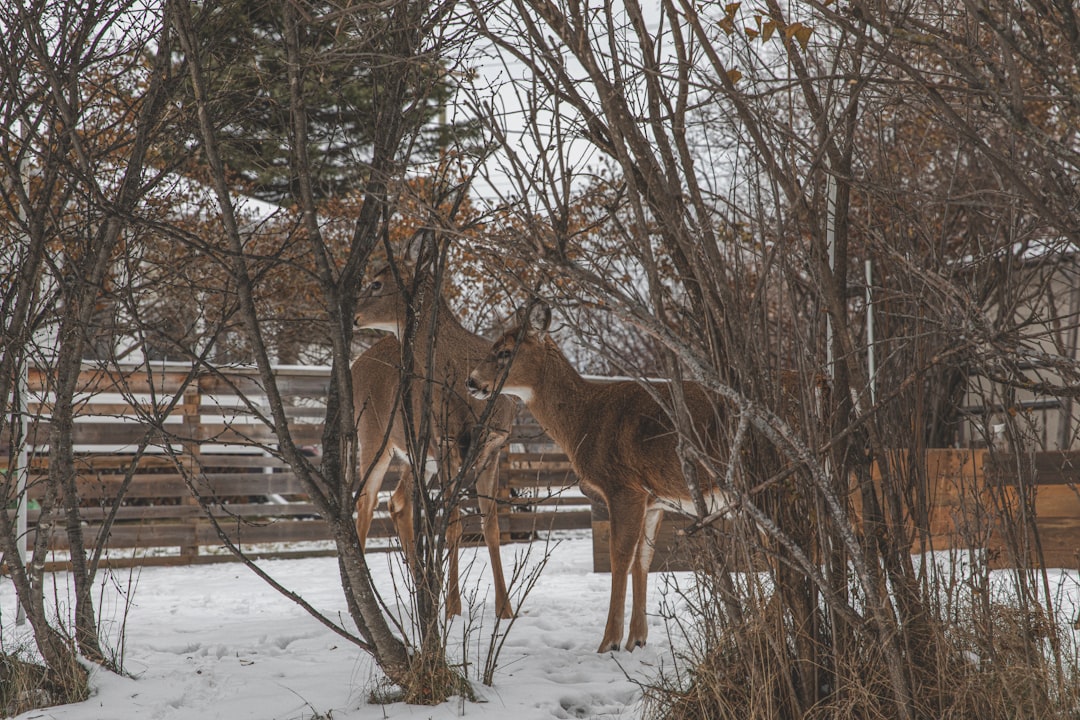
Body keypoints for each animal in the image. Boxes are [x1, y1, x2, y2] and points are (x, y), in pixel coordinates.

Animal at [347, 259, 511, 621]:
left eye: (377, 283)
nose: (353, 315)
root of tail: (354, 365)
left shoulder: (493, 450)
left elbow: (491, 527)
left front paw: (505, 609)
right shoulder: (447, 445)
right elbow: (452, 527)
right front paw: (453, 607)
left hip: (418, 453)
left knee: (397, 502)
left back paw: (421, 586)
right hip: (373, 434)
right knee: (366, 502)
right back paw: (368, 599)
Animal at [464, 302, 734, 651]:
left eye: (505, 351)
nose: (471, 381)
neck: (585, 419)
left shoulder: (623, 486)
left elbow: (620, 557)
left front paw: (609, 642)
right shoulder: (655, 499)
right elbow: (643, 558)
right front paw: (637, 640)